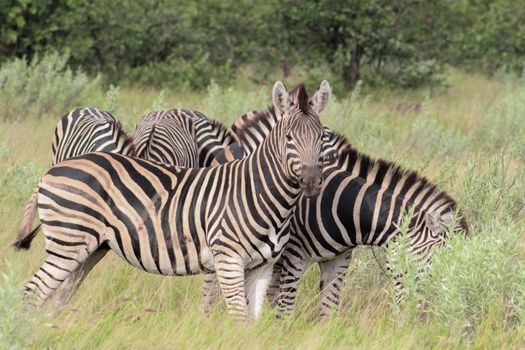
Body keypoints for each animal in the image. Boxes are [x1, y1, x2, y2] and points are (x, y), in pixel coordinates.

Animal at [12, 81, 330, 320]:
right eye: (288, 138)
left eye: (321, 138)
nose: (312, 182)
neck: (259, 192)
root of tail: (50, 172)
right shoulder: (228, 260)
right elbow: (237, 316)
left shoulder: (261, 266)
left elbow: (252, 321)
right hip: (67, 243)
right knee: (32, 293)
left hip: (88, 248)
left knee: (59, 295)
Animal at [202, 87, 466, 320]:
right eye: (428, 266)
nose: (419, 317)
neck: (347, 209)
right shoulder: (295, 258)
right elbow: (285, 308)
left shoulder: (339, 260)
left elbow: (329, 309)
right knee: (213, 287)